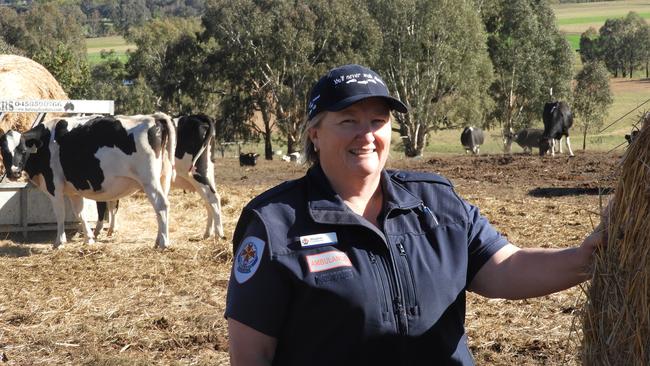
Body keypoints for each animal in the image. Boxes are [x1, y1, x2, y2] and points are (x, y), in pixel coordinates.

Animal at [0, 111, 175, 249]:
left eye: (23, 150)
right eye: (3, 151)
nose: (13, 173)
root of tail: (153, 118)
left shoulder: (54, 186)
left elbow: (60, 214)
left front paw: (59, 242)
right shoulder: (73, 191)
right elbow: (79, 213)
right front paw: (89, 239)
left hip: (149, 181)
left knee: (161, 205)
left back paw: (164, 243)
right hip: (163, 179)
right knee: (161, 209)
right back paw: (158, 240)